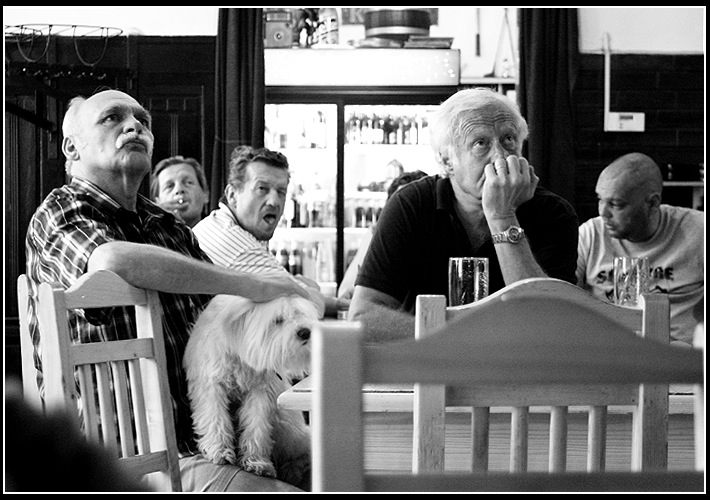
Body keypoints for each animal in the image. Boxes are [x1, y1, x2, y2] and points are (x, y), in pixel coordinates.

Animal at [183, 293, 318, 490]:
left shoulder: (259, 391)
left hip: (286, 427)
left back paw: (291, 469)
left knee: (304, 449)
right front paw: (219, 450)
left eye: (300, 313)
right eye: (277, 320)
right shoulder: (212, 386)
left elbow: (256, 427)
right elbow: (216, 419)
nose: (305, 332)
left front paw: (256, 462)